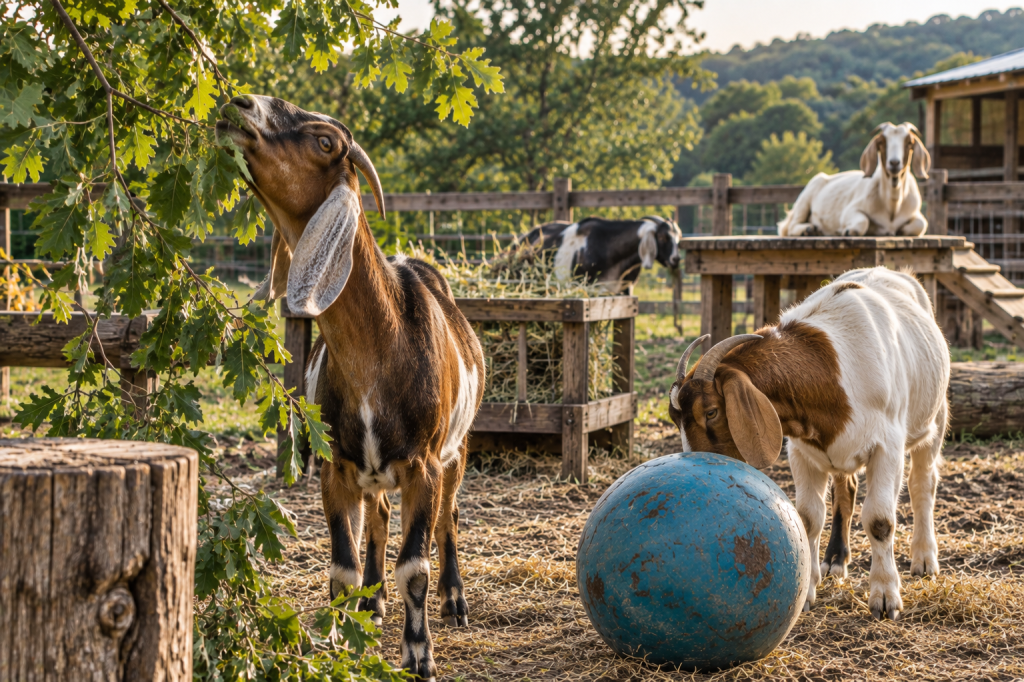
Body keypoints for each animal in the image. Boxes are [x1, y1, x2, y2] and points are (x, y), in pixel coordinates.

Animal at [217, 95, 485, 680]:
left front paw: (419, 655)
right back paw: (373, 600)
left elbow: (415, 567)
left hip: (457, 450)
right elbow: (342, 567)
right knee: (379, 518)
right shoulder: (335, 467)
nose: (239, 104)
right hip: (373, 470)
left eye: (324, 141)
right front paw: (342, 638)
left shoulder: (423, 466)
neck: (379, 352)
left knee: (450, 517)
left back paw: (454, 600)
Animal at [668, 267, 949, 621]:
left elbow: (880, 520)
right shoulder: (801, 451)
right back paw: (835, 560)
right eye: (674, 418)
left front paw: (885, 596)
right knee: (846, 486)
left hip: (935, 418)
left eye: (711, 412)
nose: (696, 466)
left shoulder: (888, 446)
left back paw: (924, 558)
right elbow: (809, 517)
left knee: (923, 482)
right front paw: (808, 590)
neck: (831, 373)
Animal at [778, 122, 932, 237]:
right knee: (789, 227)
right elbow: (862, 222)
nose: (894, 163)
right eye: (881, 142)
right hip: (805, 198)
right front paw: (847, 230)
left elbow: (921, 224)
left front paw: (900, 231)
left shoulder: (915, 213)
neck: (892, 206)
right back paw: (808, 230)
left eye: (909, 142)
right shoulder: (849, 210)